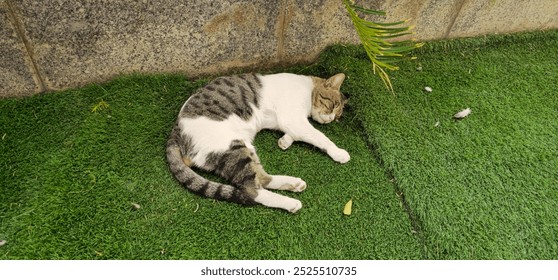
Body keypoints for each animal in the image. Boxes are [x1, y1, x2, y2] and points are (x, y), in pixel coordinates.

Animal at [166, 72, 350, 212]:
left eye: (337, 117)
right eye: (332, 105)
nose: (331, 119)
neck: (308, 88)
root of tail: (175, 132)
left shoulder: (293, 123)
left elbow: (298, 134)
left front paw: (285, 141)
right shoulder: (293, 119)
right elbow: (319, 136)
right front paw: (339, 152)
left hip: (245, 146)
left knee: (262, 178)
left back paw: (293, 183)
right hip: (233, 147)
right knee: (252, 191)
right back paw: (290, 203)